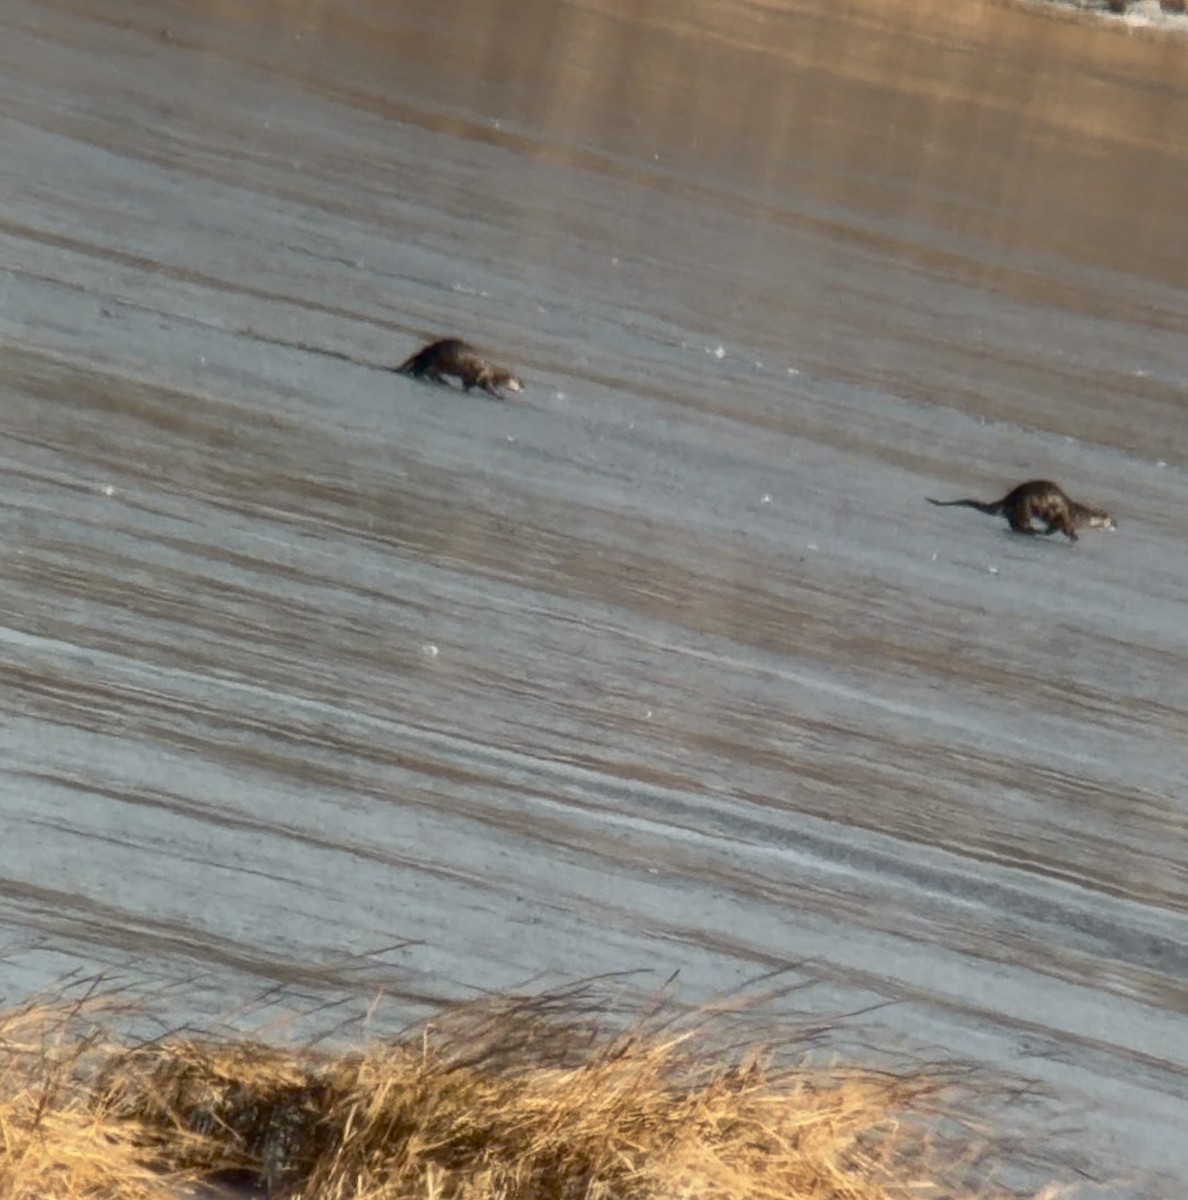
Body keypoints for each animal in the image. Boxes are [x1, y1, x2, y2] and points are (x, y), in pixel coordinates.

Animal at [927, 479, 1116, 543]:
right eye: (1112, 521)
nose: (1118, 525)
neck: (1079, 515)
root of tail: (1009, 498)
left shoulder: (1057, 521)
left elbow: (1052, 529)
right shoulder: (1065, 518)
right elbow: (1066, 528)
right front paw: (1074, 537)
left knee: (1013, 523)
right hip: (1025, 507)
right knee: (1020, 523)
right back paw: (1030, 530)